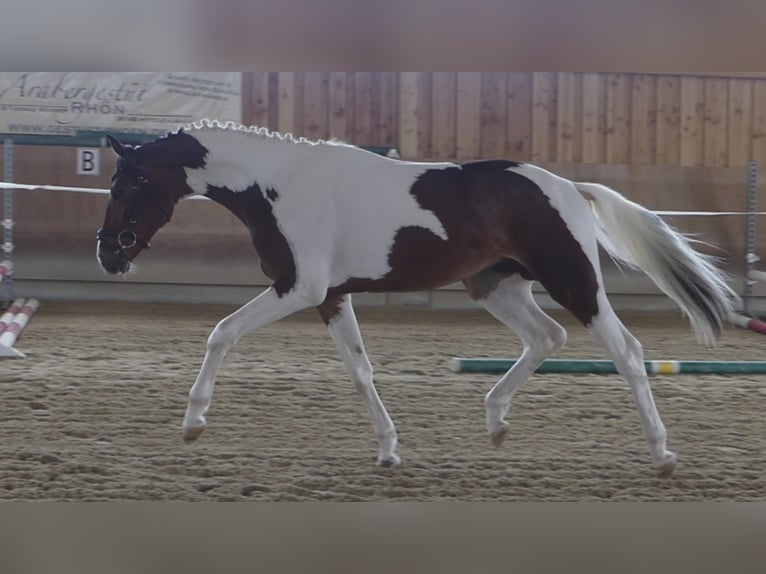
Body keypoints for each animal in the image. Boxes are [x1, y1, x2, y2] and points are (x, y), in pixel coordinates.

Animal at [97, 120, 736, 477]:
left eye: (128, 185)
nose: (108, 255)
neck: (279, 185)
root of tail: (570, 189)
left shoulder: (298, 288)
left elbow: (221, 332)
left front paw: (193, 423)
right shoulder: (329, 296)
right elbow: (360, 371)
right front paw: (387, 451)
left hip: (574, 283)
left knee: (627, 352)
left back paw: (662, 455)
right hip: (496, 285)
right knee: (545, 337)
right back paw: (496, 421)